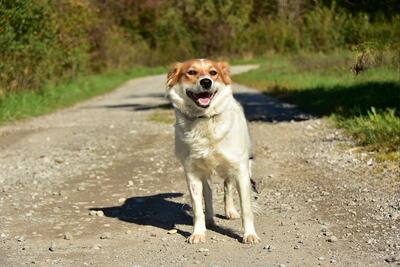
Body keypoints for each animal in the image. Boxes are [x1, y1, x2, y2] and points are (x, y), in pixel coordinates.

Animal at [165, 58, 260, 245]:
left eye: (213, 72)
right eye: (191, 72)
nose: (206, 82)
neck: (205, 119)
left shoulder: (240, 169)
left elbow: (246, 208)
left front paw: (249, 234)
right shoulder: (192, 172)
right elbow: (197, 209)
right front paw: (198, 233)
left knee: (227, 186)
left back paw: (230, 211)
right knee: (208, 192)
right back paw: (210, 219)